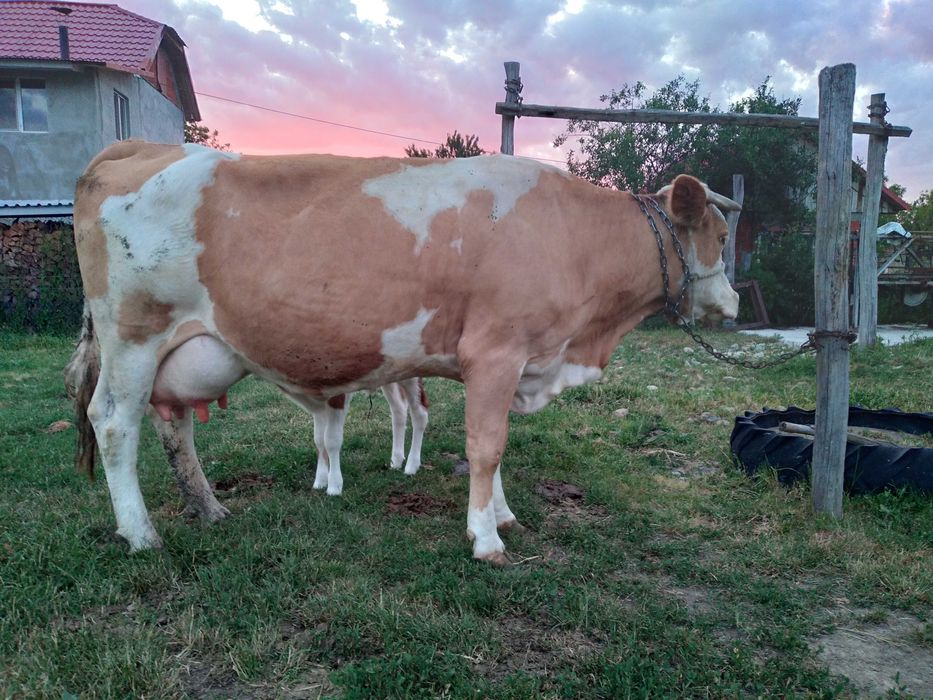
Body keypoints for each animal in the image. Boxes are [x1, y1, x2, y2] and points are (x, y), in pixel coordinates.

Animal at [69, 140, 739, 565]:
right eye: (721, 234)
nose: (732, 302)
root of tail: (144, 147)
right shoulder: (495, 351)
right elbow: (486, 446)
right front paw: (486, 539)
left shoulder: (508, 362)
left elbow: (492, 448)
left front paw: (500, 515)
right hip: (133, 334)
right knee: (115, 423)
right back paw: (142, 534)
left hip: (182, 349)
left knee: (174, 427)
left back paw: (209, 509)